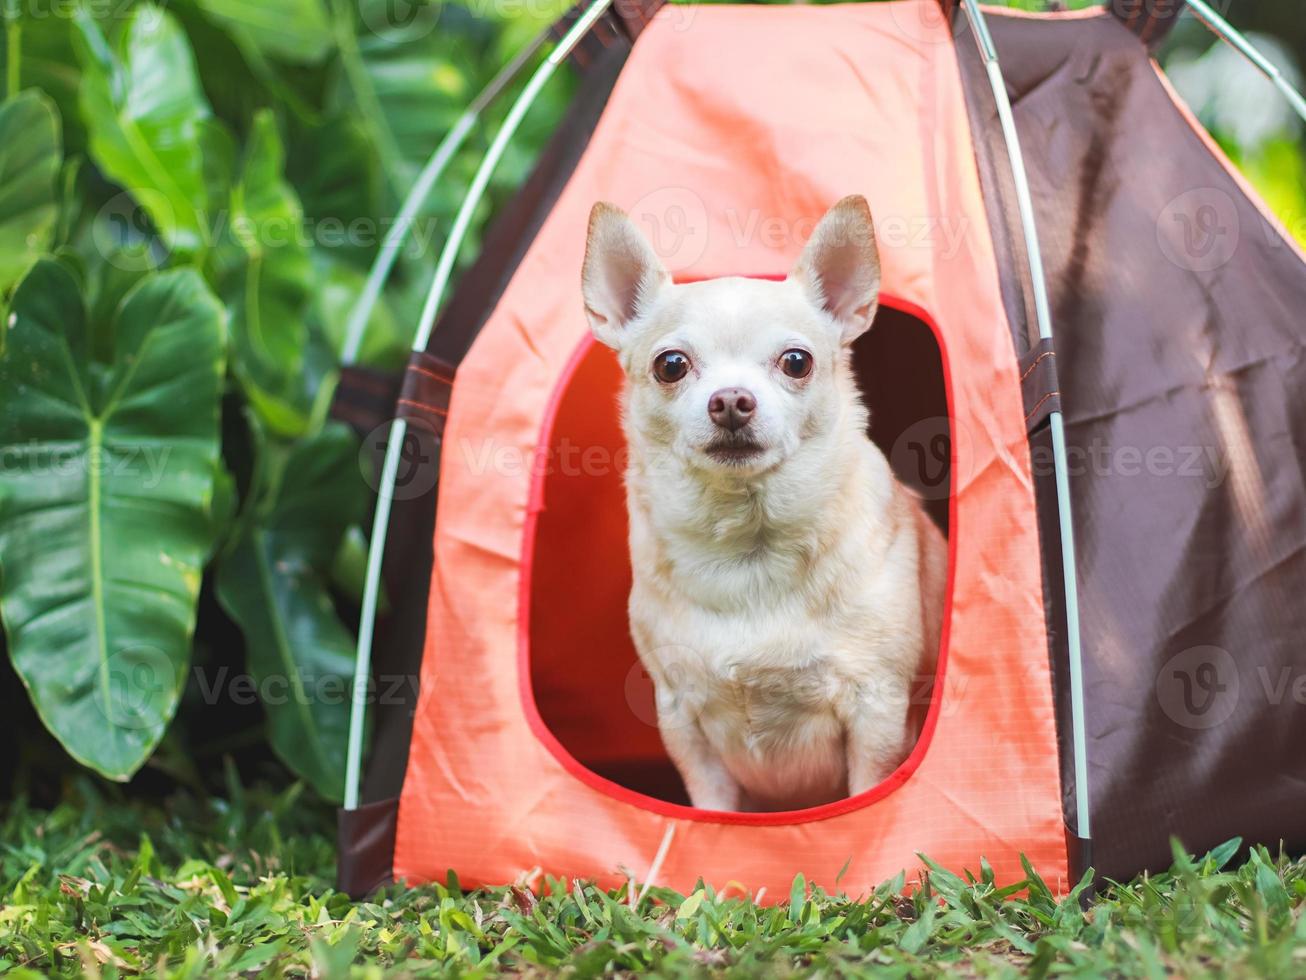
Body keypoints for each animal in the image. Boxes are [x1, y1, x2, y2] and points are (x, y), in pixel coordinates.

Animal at [587, 197, 945, 815]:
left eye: (796, 361)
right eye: (671, 365)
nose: (732, 400)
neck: (745, 546)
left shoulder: (877, 710)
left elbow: (867, 790)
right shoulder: (682, 719)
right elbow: (710, 806)